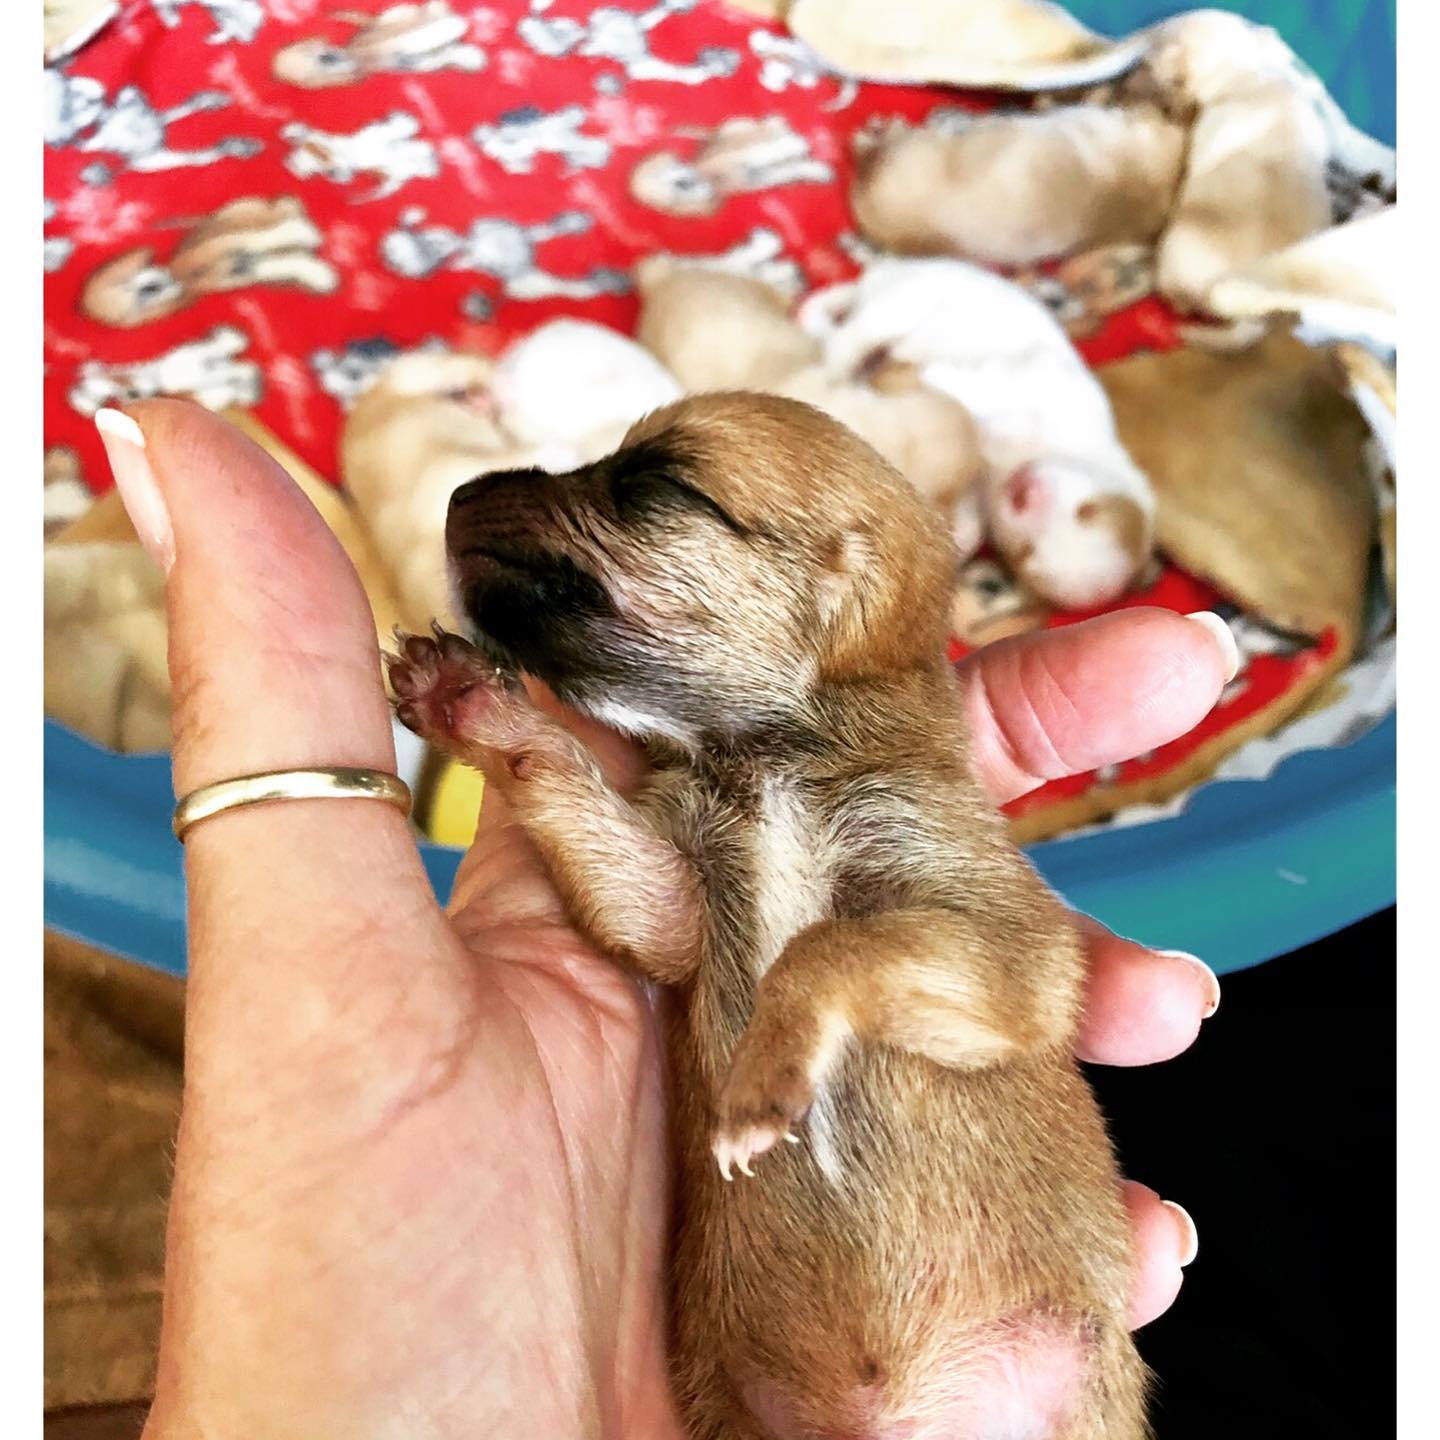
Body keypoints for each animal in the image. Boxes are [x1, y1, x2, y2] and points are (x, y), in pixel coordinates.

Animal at [385, 394, 1146, 1440]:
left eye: (656, 484)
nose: (460, 493)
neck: (767, 768)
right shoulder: (672, 902)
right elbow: (573, 793)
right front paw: (476, 706)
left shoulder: (1011, 954)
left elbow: (827, 945)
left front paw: (762, 1082)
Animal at [806, 259, 1152, 607]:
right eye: (1087, 511)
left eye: (1027, 552)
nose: (1023, 495)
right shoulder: (1040, 384)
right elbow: (980, 393)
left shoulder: (978, 492)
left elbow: (970, 524)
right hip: (903, 302)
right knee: (849, 339)